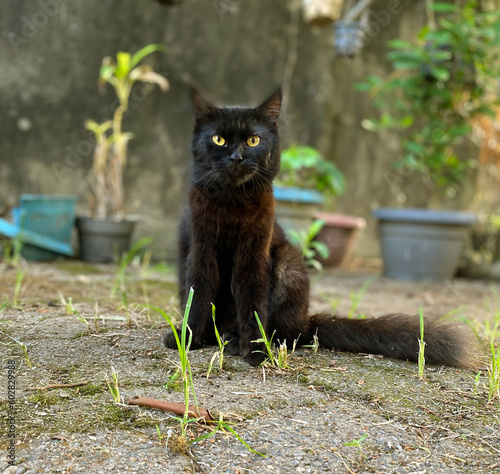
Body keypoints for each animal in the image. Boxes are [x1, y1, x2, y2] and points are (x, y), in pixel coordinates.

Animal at [165, 89, 476, 368]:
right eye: (218, 139)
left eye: (253, 140)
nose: (236, 158)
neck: (232, 202)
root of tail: (306, 321)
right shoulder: (201, 248)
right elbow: (197, 295)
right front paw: (187, 339)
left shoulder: (254, 253)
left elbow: (252, 303)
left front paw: (255, 351)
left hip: (288, 264)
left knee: (287, 333)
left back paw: (234, 341)